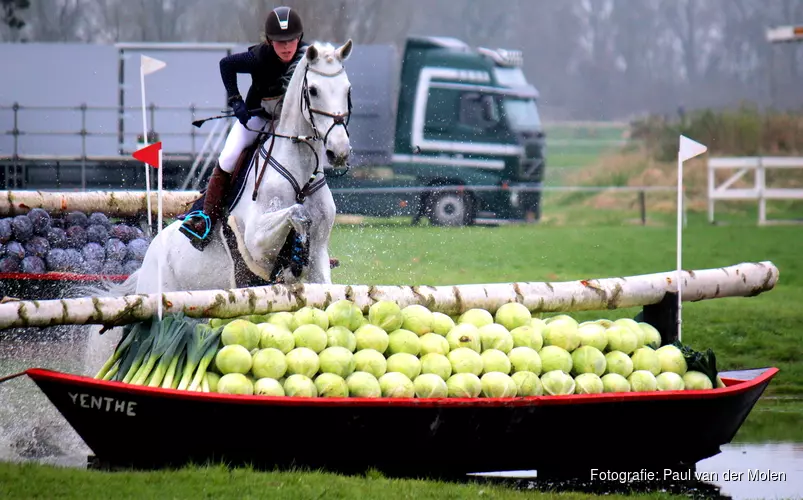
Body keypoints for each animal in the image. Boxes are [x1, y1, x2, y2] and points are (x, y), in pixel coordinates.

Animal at [98, 40, 354, 296]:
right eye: (313, 90)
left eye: (347, 90)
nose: (339, 151)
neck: (301, 175)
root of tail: (146, 260)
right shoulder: (256, 243)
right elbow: (298, 213)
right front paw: (295, 259)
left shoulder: (319, 256)